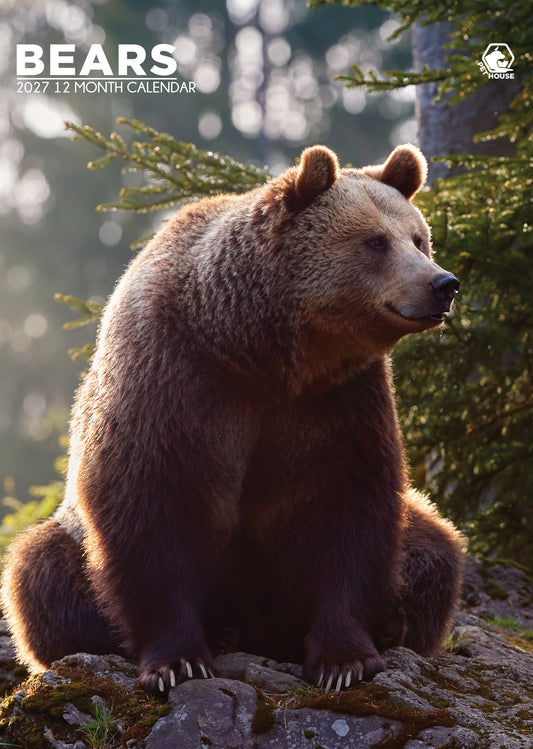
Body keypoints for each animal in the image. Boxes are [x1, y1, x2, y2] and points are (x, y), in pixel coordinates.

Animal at [1, 143, 465, 695]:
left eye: (418, 237)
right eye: (376, 241)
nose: (443, 283)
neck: (259, 352)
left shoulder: (338, 401)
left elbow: (347, 509)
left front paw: (344, 659)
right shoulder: (174, 381)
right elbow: (152, 509)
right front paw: (177, 661)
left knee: (434, 548)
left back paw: (393, 622)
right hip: (69, 538)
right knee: (39, 573)